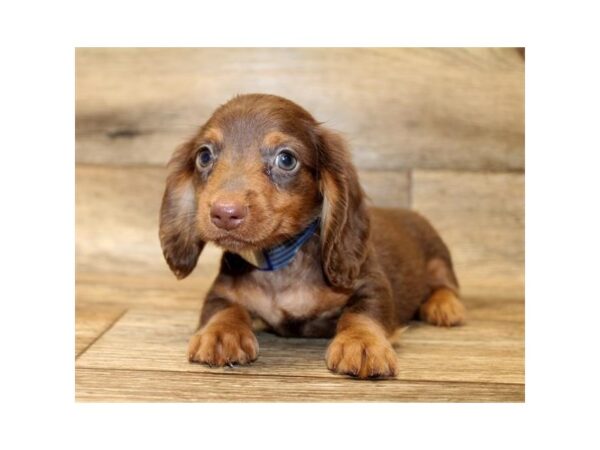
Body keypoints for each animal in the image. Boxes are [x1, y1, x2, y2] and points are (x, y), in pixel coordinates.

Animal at [159, 94, 464, 380]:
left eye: (286, 159)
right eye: (204, 156)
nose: (224, 213)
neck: (282, 261)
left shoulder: (370, 282)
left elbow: (362, 311)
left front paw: (363, 343)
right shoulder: (221, 291)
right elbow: (222, 308)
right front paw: (220, 333)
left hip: (439, 257)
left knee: (445, 284)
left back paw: (444, 306)